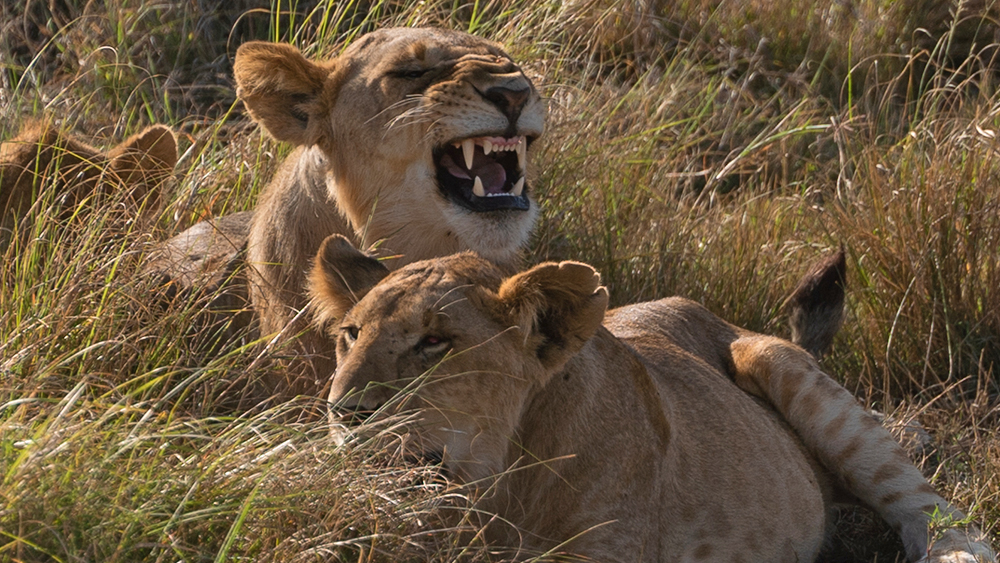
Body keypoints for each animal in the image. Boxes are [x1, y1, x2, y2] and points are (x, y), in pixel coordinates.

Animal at [308, 235, 996, 563]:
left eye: (435, 341)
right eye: (350, 335)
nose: (342, 413)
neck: (496, 490)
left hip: (779, 366)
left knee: (932, 512)